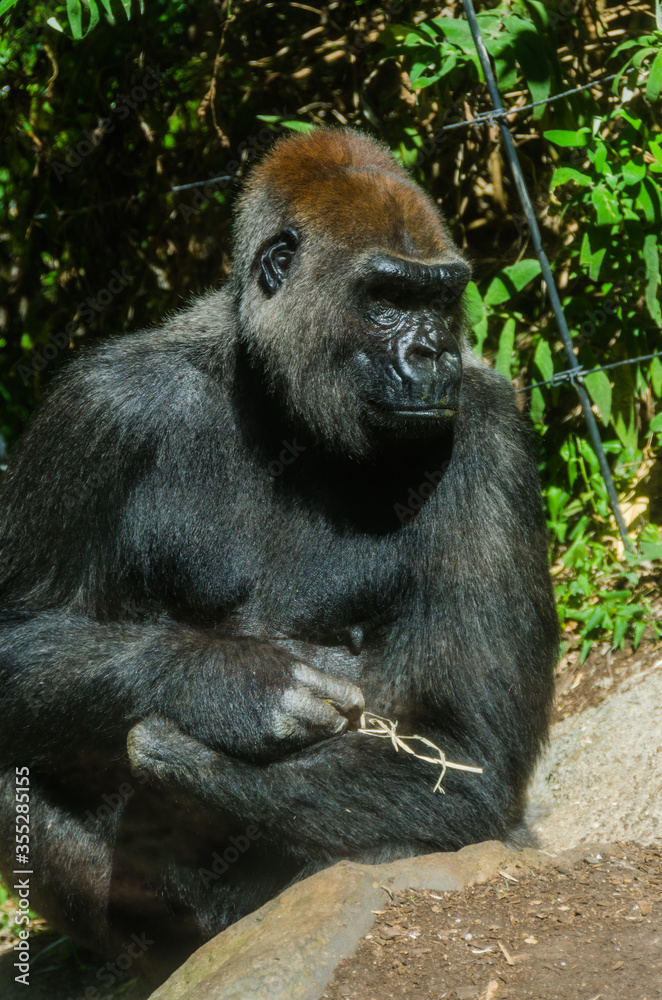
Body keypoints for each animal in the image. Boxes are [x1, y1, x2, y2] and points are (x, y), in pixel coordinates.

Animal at [0, 128, 557, 983]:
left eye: (439, 299)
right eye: (388, 298)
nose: (435, 354)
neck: (276, 401)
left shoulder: (490, 430)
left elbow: (468, 752)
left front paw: (184, 744)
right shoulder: (98, 409)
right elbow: (18, 634)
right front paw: (229, 684)